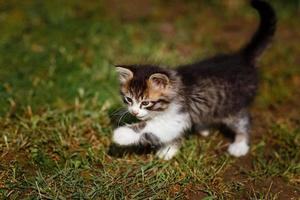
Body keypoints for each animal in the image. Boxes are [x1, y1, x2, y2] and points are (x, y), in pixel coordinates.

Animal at [112, 0, 276, 159]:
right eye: (128, 99)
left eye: (145, 103)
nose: (134, 112)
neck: (176, 86)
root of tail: (243, 58)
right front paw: (169, 150)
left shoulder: (177, 115)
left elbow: (151, 127)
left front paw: (122, 134)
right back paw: (203, 128)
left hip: (233, 106)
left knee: (244, 121)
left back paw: (240, 145)